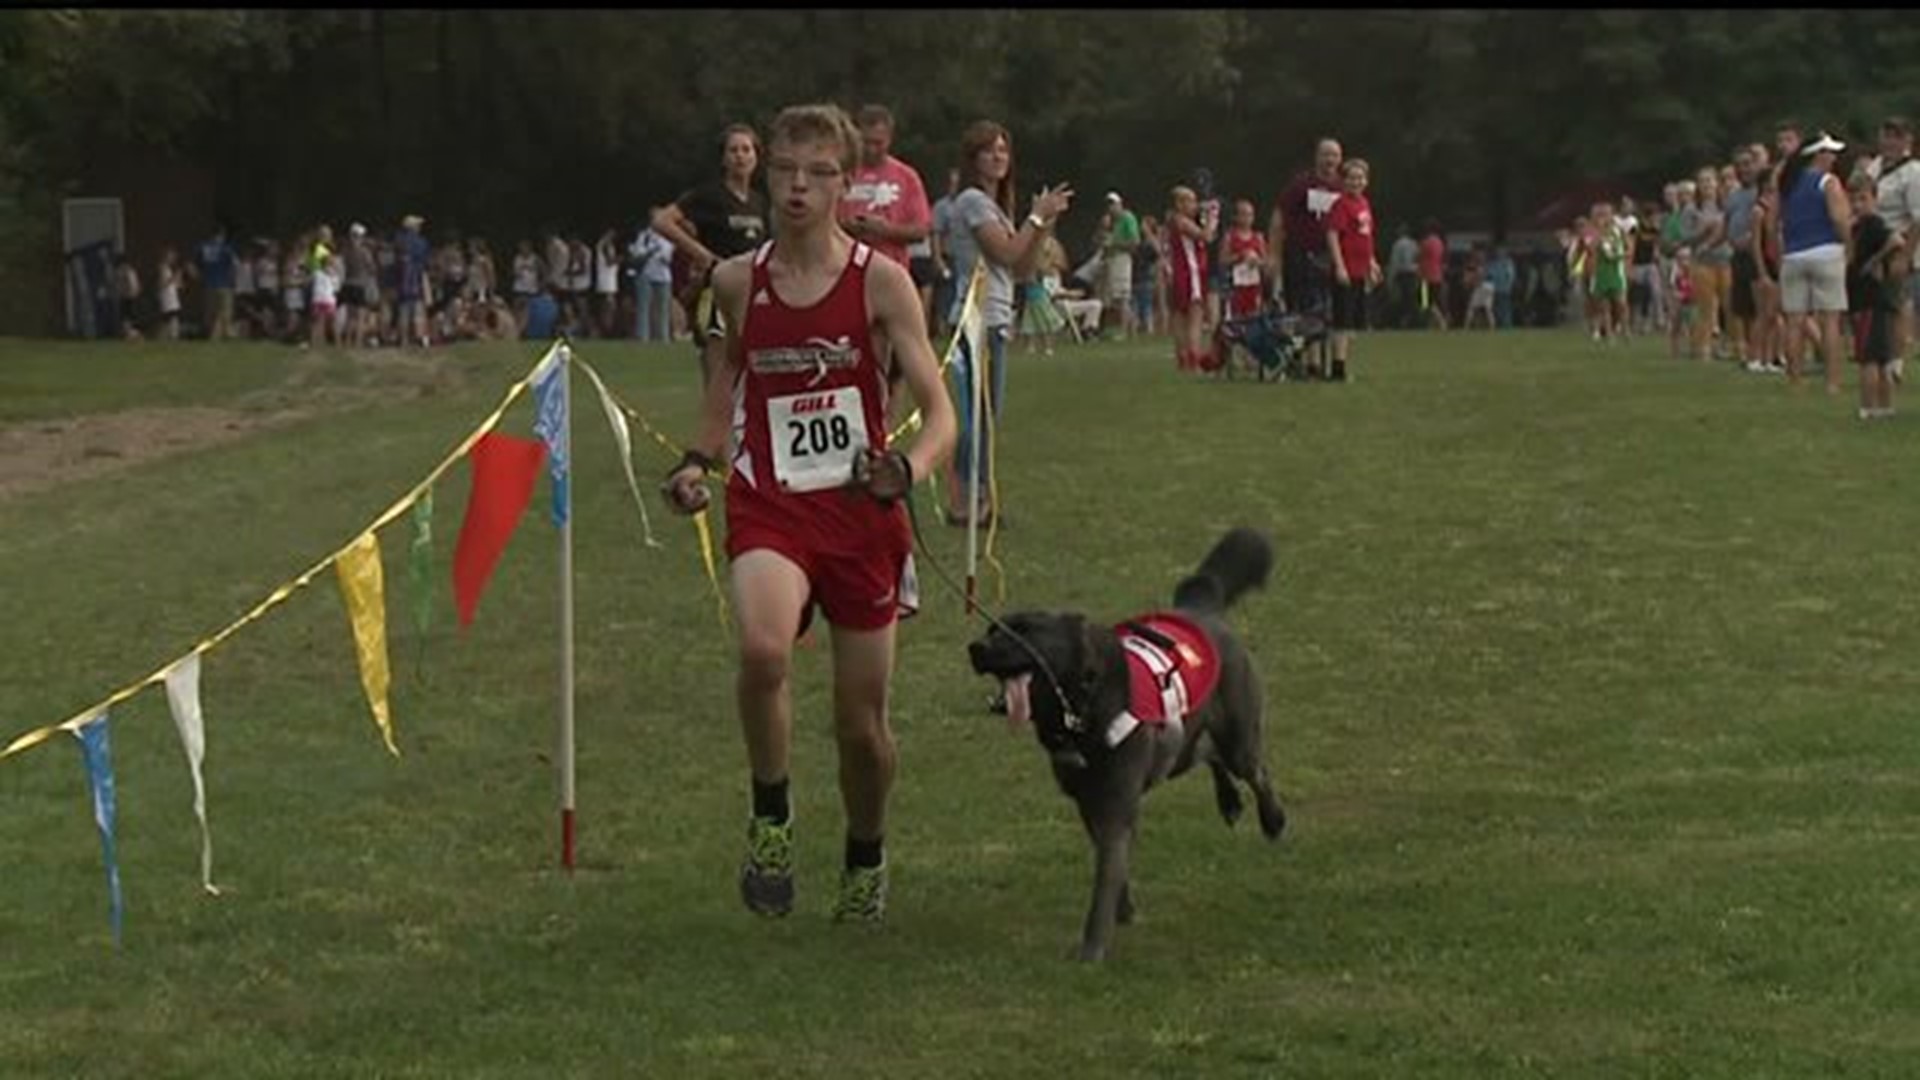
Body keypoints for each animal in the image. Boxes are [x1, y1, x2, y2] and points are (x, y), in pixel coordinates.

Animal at [967, 526, 1282, 953]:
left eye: (1023, 631)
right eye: (991, 629)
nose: (975, 648)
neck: (1078, 710)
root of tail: (1201, 605)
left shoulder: (1115, 802)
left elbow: (1106, 873)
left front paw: (1093, 947)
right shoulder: (1087, 801)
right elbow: (1111, 862)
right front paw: (1124, 909)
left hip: (1238, 738)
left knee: (1255, 771)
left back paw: (1273, 822)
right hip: (1183, 743)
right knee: (1206, 752)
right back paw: (1230, 802)